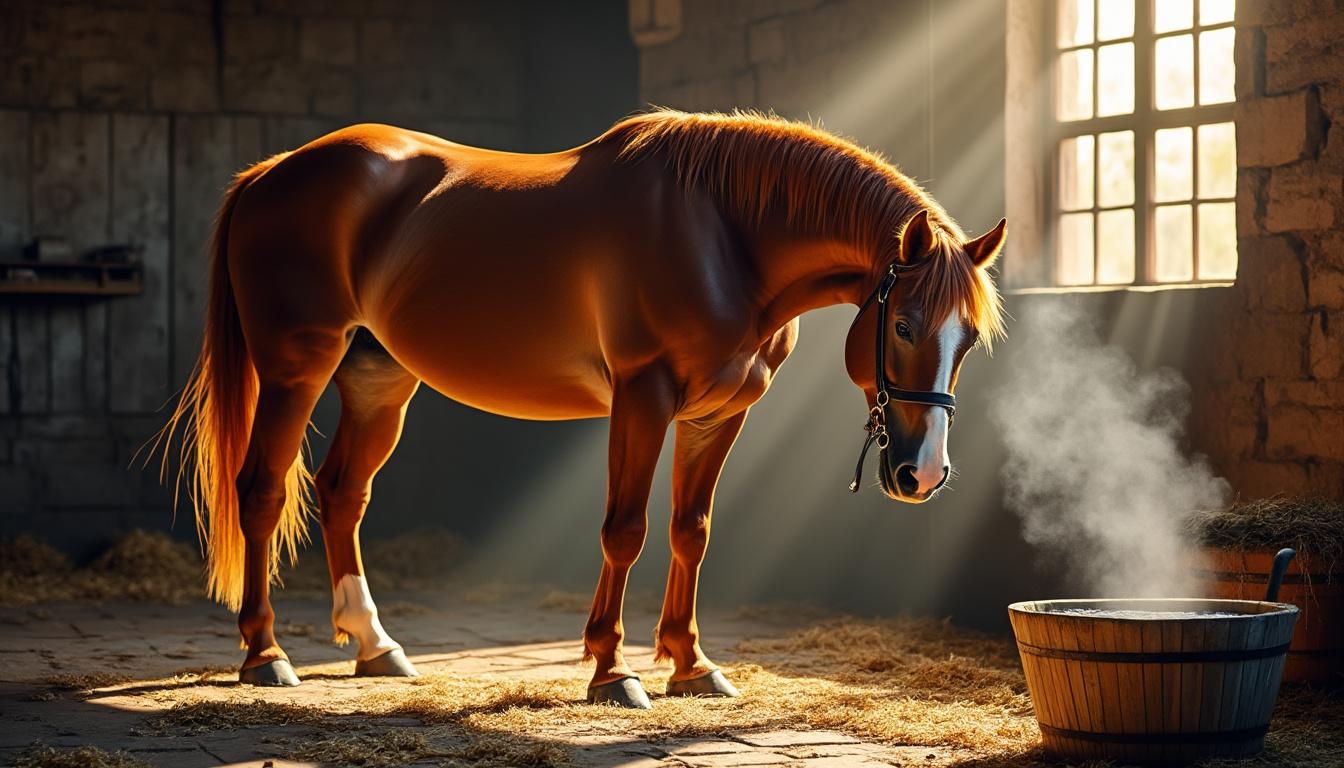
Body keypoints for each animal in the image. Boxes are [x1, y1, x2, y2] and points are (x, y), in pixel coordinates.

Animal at [161, 109, 1006, 708]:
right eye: (903, 325)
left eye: (968, 341)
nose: (923, 475)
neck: (722, 233)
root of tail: (271, 171)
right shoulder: (643, 396)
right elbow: (625, 530)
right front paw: (610, 670)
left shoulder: (719, 413)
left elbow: (691, 532)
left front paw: (691, 665)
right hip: (296, 367)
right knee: (262, 491)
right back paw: (265, 655)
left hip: (379, 380)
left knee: (343, 494)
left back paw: (375, 647)